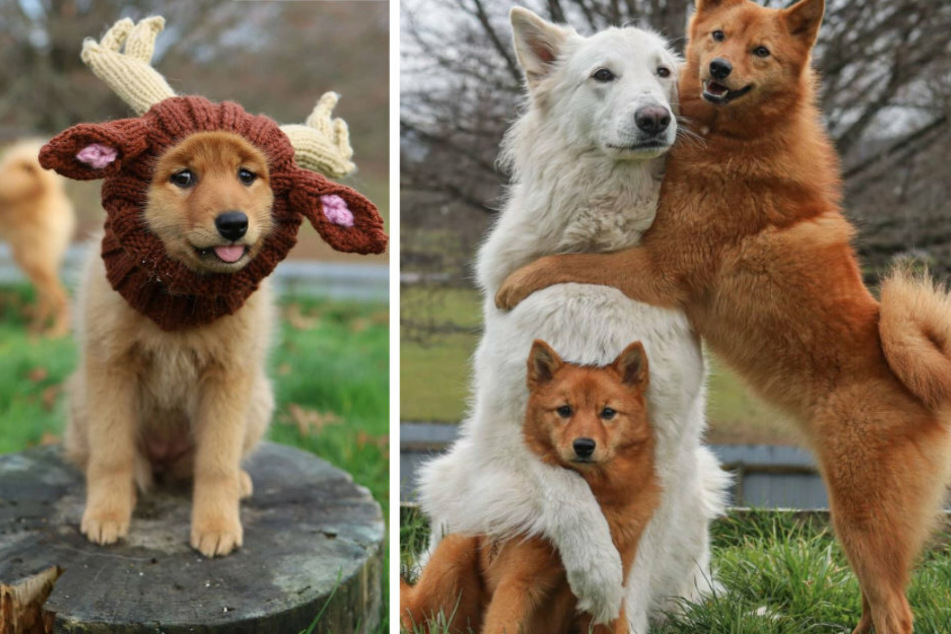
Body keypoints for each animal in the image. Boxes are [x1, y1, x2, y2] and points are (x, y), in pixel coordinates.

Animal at [0, 139, 75, 336]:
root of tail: (46, 188)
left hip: (31, 258)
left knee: (61, 296)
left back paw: (57, 333)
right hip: (36, 258)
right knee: (45, 298)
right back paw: (35, 330)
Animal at [65, 132, 276, 552]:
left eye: (246, 175)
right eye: (183, 177)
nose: (234, 224)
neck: (181, 298)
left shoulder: (228, 376)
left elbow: (217, 462)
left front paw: (215, 524)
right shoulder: (111, 366)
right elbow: (111, 454)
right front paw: (106, 514)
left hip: (258, 399)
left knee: (207, 465)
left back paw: (239, 482)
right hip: (82, 399)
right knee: (104, 459)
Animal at [398, 340, 660, 632]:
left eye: (608, 412)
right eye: (564, 410)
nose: (583, 445)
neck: (597, 496)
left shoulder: (612, 598)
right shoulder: (517, 583)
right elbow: (501, 624)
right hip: (456, 551)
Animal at [494, 0, 951, 628]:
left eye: (760, 51)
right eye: (717, 36)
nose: (716, 69)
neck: (736, 139)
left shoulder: (658, 267)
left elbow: (570, 260)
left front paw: (516, 282)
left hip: (863, 521)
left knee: (896, 613)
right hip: (863, 528)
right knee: (878, 605)